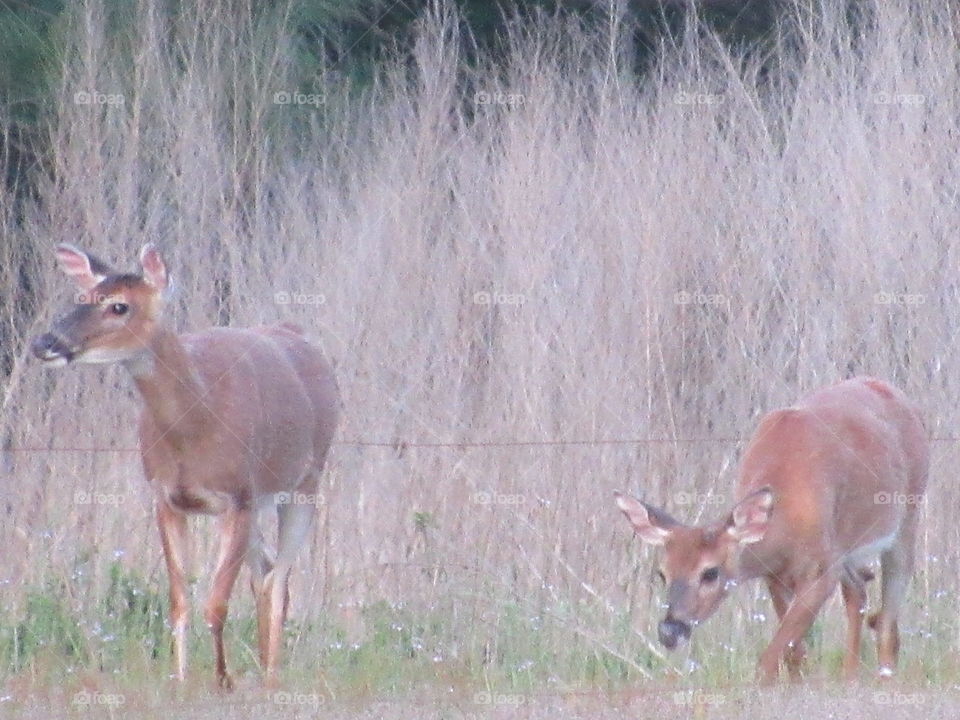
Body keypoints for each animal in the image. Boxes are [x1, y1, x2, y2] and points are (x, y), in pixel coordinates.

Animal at [31, 244, 340, 689]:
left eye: (119, 305)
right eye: (82, 297)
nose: (46, 342)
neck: (197, 426)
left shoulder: (238, 496)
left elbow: (216, 603)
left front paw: (223, 680)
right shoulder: (166, 498)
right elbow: (179, 601)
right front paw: (180, 679)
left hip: (306, 481)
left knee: (279, 577)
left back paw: (271, 675)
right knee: (264, 571)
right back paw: (264, 663)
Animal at [615, 377, 929, 683]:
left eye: (710, 572)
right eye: (662, 573)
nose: (669, 631)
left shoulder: (821, 572)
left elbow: (771, 657)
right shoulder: (776, 574)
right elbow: (794, 651)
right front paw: (798, 683)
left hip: (907, 516)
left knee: (887, 614)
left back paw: (883, 675)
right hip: (845, 550)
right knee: (859, 591)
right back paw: (849, 676)